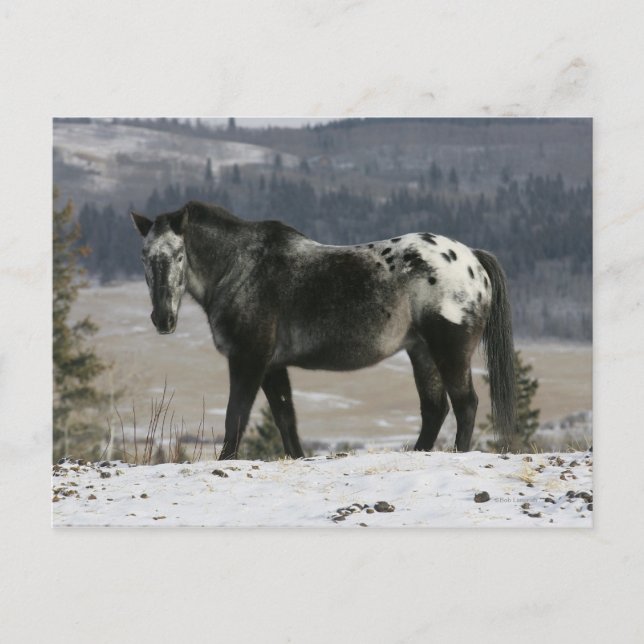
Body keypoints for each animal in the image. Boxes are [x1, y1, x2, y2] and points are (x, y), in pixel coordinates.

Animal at [131, 200, 516, 460]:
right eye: (144, 256)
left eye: (179, 255)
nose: (163, 318)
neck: (241, 267)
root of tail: (472, 258)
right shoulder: (272, 365)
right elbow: (285, 417)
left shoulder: (248, 360)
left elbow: (235, 417)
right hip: (421, 351)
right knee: (435, 409)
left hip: (449, 349)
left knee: (465, 404)